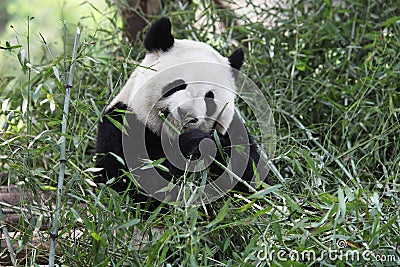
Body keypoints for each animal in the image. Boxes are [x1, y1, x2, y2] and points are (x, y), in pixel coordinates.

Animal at [94, 17, 270, 208]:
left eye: (209, 98)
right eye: (178, 85)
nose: (187, 115)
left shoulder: (236, 132)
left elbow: (256, 181)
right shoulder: (121, 125)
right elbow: (131, 182)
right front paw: (196, 144)